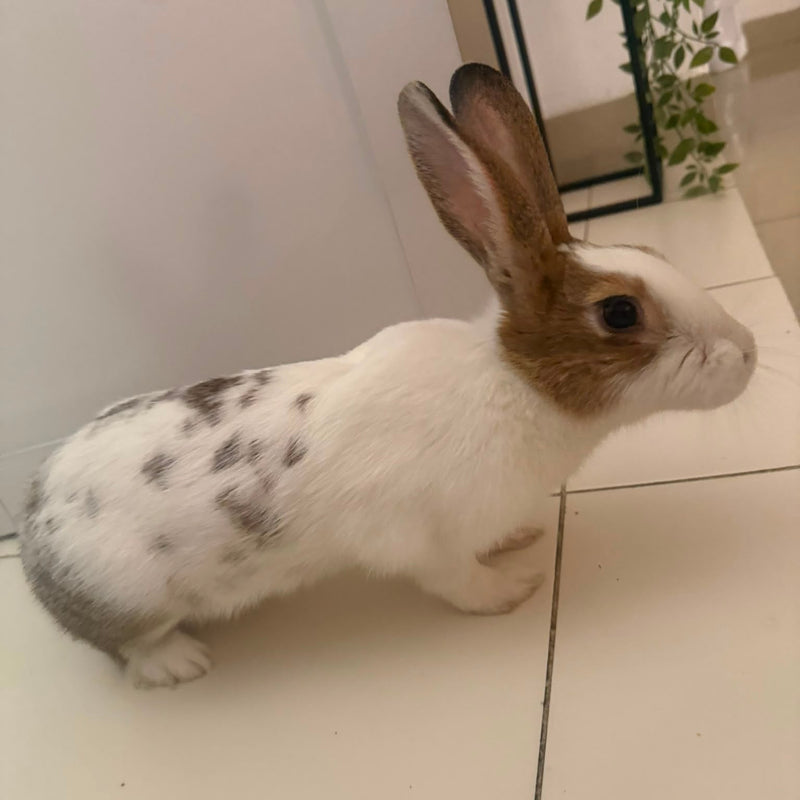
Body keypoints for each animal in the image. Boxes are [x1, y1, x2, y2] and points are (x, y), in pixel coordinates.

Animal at [19, 63, 756, 688]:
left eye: (652, 251)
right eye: (620, 312)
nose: (748, 351)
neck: (517, 385)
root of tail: (33, 521)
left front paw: (517, 538)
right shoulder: (420, 539)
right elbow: (458, 582)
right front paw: (513, 589)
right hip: (130, 596)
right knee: (129, 648)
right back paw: (183, 663)